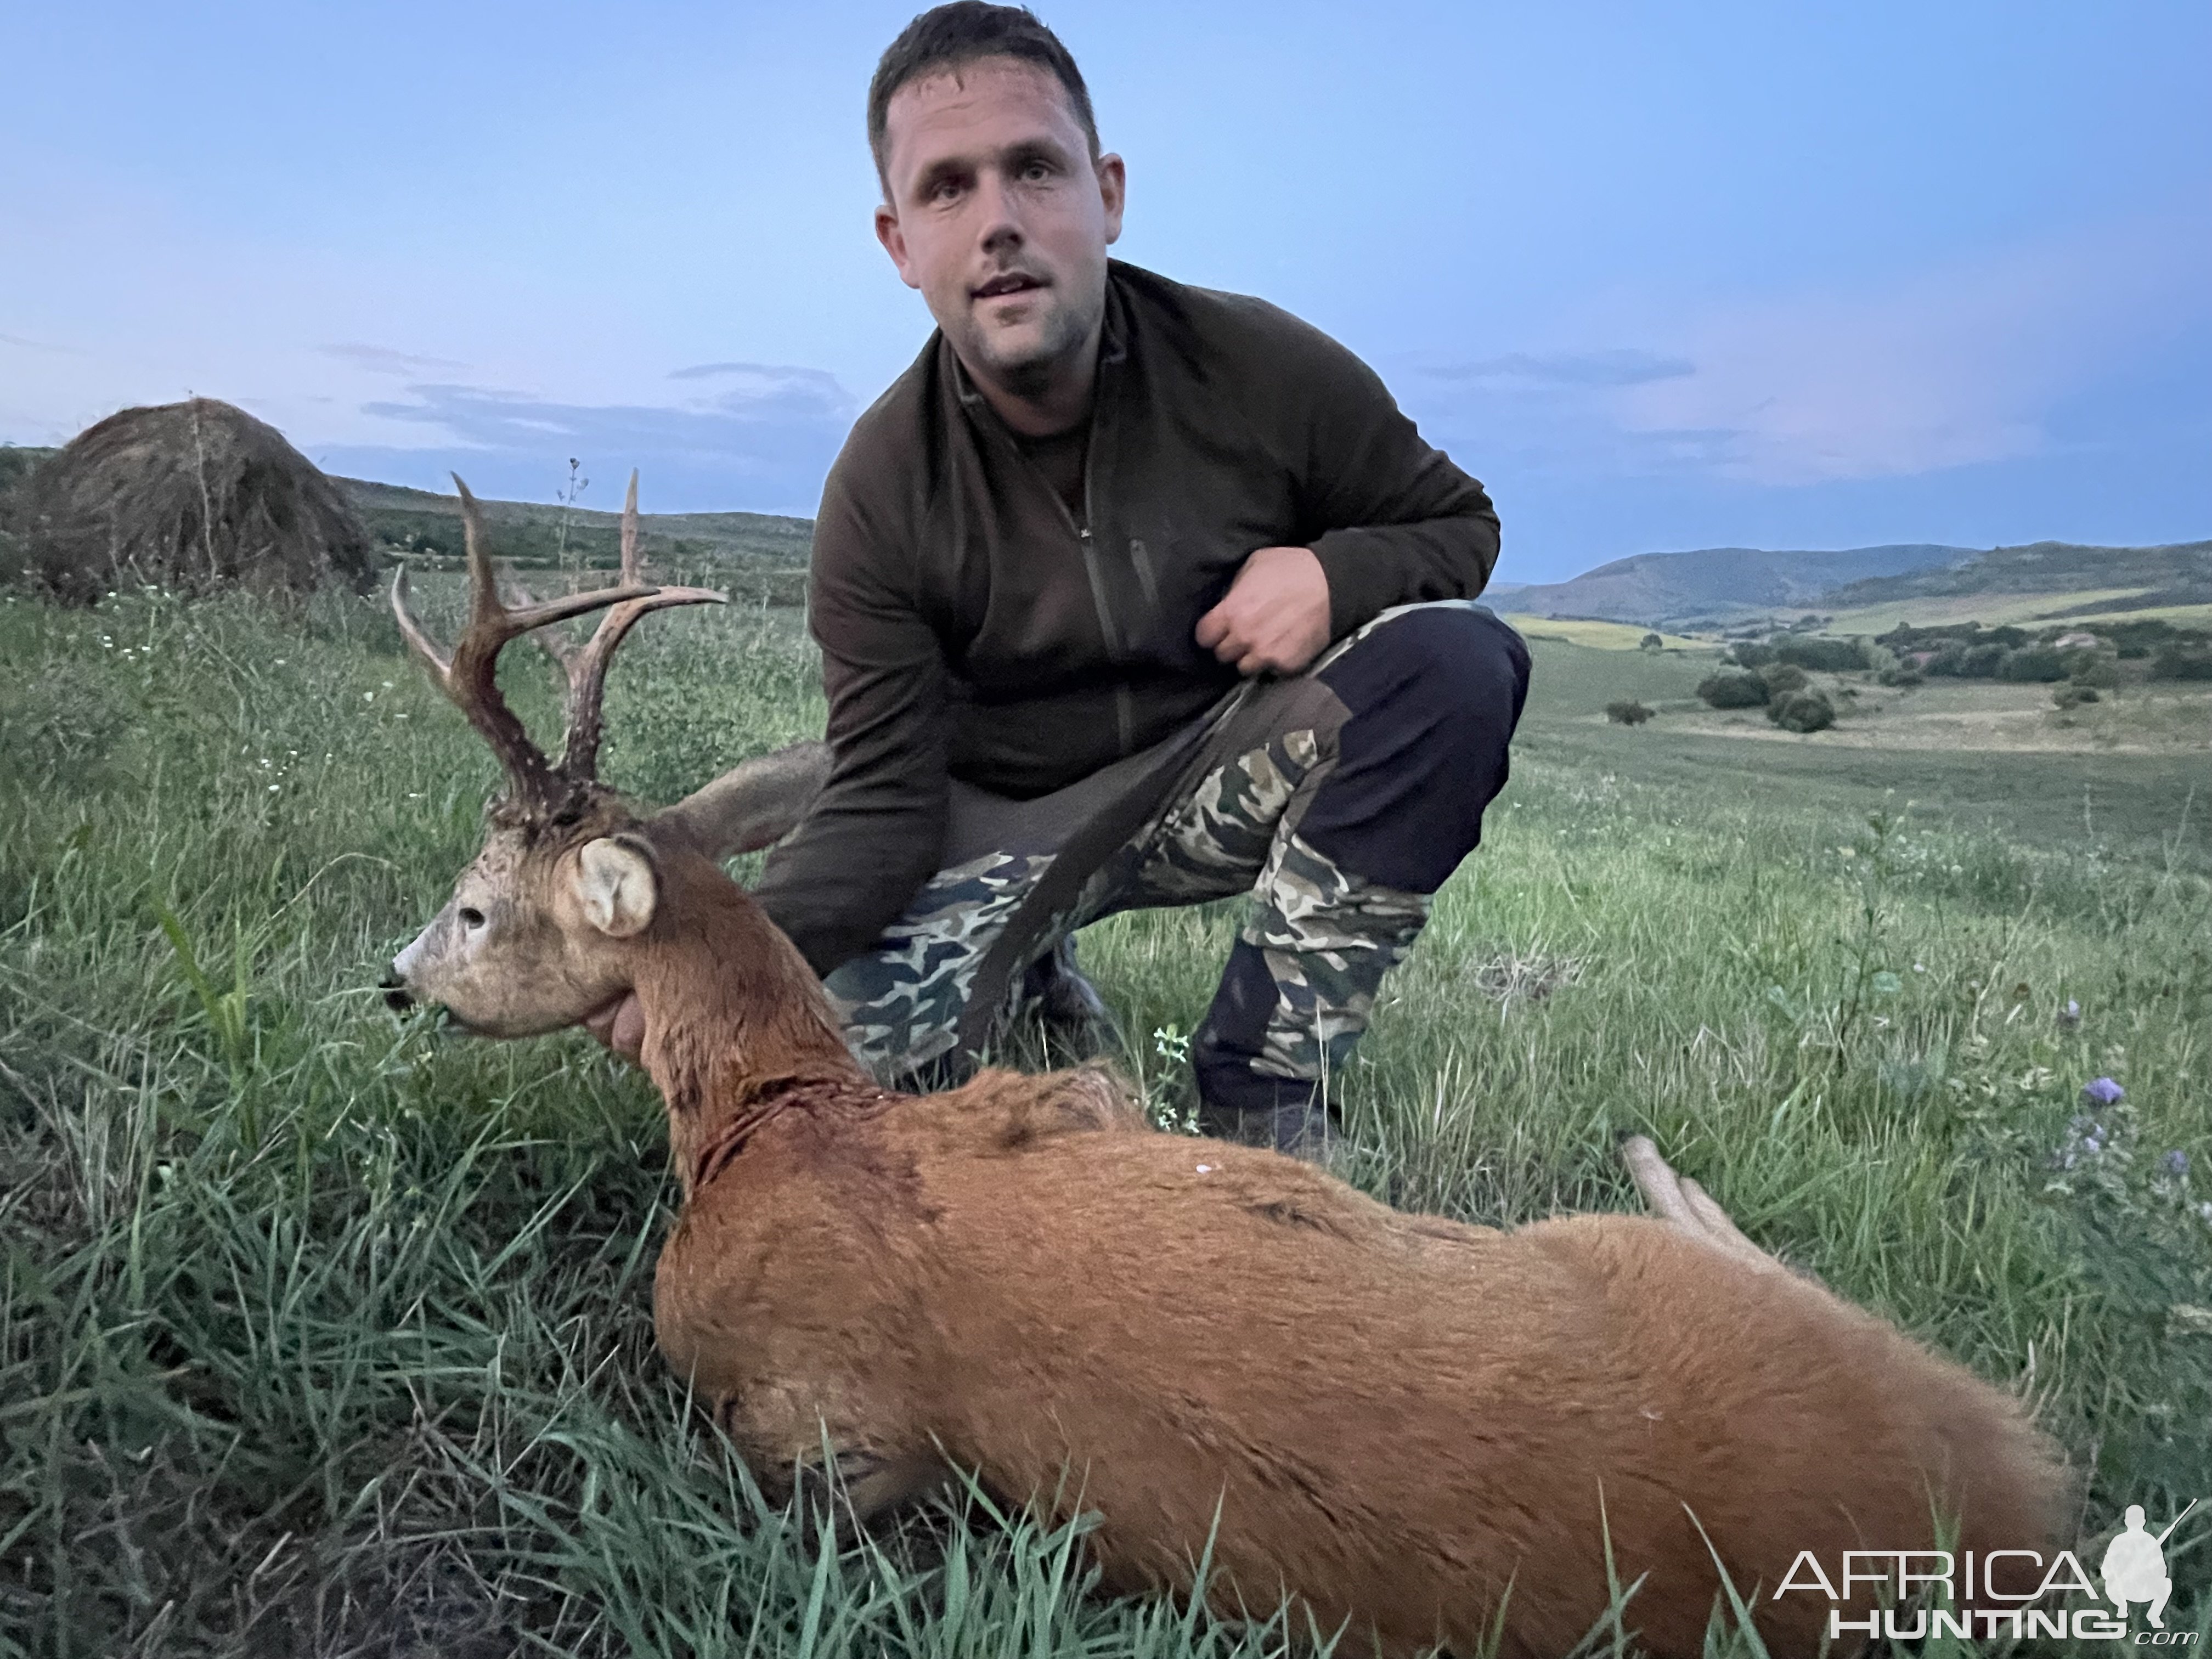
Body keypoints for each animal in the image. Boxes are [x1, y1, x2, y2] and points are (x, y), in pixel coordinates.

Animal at [385, 479, 2070, 1659]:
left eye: (472, 905)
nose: (394, 980)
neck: (781, 1118)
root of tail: (2007, 1501)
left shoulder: (811, 1391)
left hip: (1638, 1263)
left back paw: (1651, 1151)